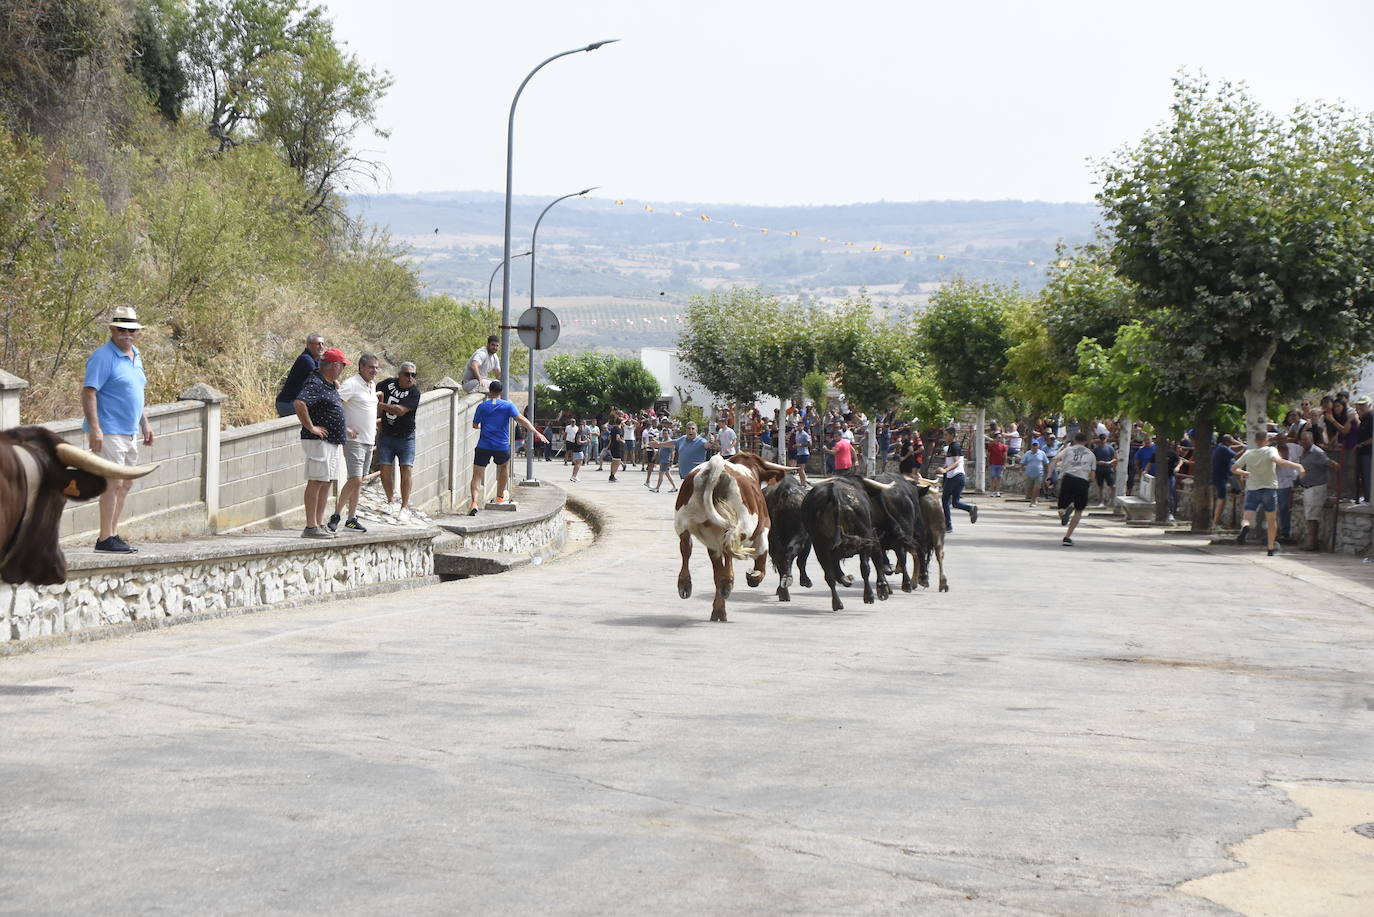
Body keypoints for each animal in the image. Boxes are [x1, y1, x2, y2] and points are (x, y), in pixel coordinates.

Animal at [670, 453, 791, 624]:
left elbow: (718, 573)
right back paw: (728, 583)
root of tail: (715, 469)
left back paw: (685, 584)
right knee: (728, 545)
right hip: (743, 524)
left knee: (686, 546)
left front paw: (718, 611)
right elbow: (761, 561)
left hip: (683, 520)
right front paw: (754, 577)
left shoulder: (713, 546)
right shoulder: (763, 530)